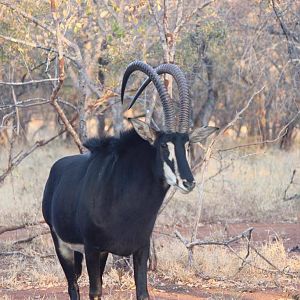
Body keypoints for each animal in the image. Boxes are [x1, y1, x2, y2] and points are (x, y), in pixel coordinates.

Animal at [42, 61, 218, 300]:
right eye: (163, 145)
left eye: (187, 144)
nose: (188, 182)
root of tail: (56, 170)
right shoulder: (91, 248)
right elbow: (95, 292)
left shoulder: (139, 248)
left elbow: (142, 292)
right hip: (62, 244)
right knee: (73, 286)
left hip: (99, 254)